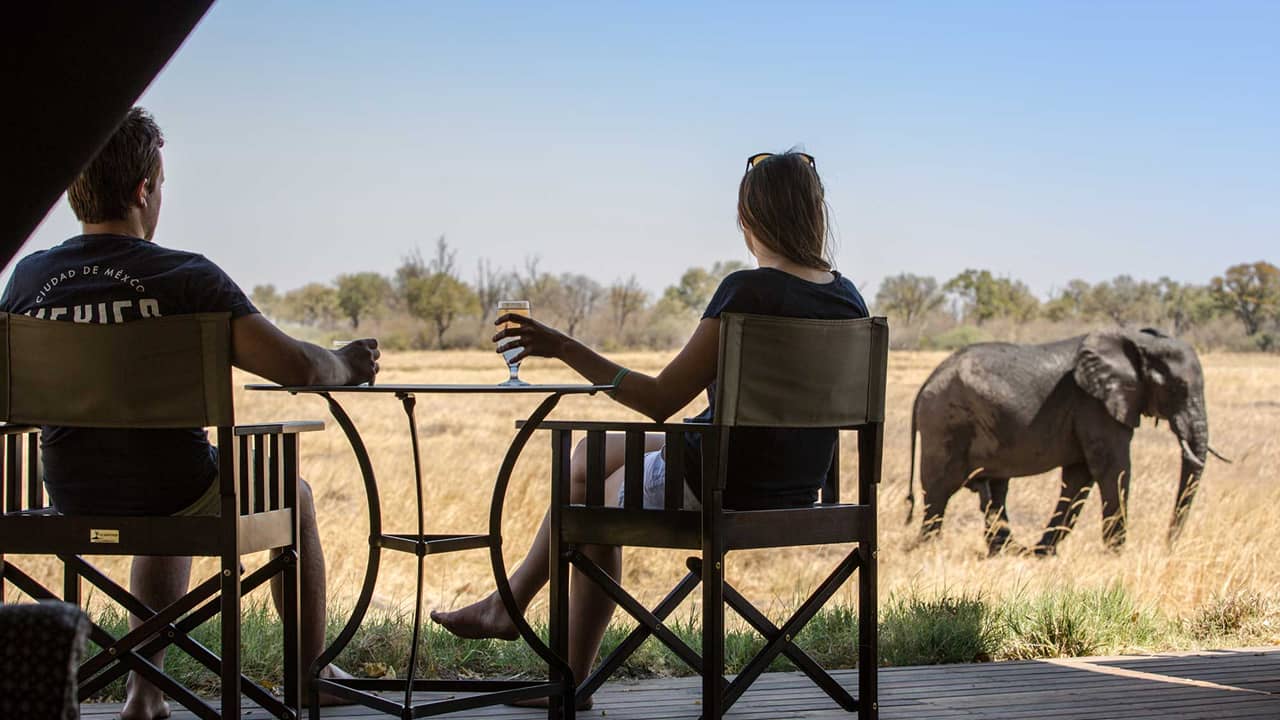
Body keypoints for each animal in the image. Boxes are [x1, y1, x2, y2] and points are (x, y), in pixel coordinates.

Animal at [906, 325, 1223, 556]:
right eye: (1178, 388)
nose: (1169, 547)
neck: (1138, 340)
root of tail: (926, 382)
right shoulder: (1094, 404)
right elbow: (1112, 469)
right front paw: (1117, 555)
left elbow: (1079, 476)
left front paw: (1044, 554)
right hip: (944, 423)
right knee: (939, 489)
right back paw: (925, 549)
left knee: (994, 490)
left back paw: (1004, 550)